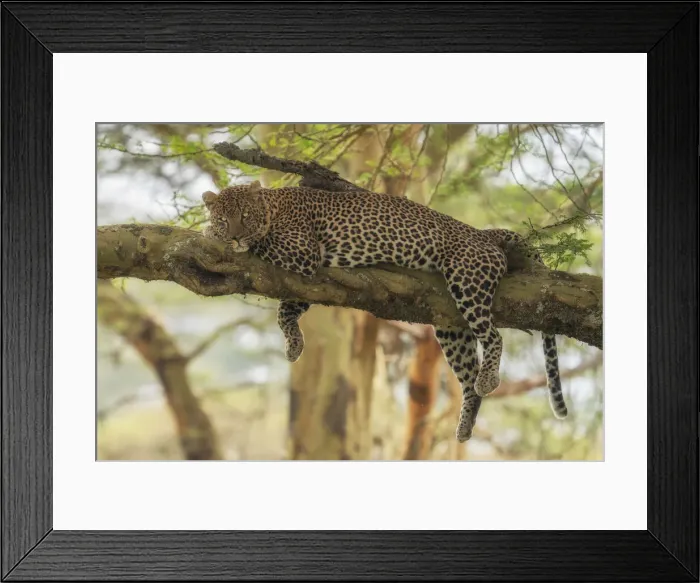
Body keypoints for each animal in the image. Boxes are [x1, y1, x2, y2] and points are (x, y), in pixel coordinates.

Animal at [202, 180, 568, 442]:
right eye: (224, 217)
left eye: (244, 216)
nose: (233, 236)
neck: (272, 206)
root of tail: (481, 233)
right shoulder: (307, 281)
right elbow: (286, 311)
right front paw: (294, 345)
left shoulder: (302, 252)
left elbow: (264, 250)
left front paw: (211, 234)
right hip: (450, 322)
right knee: (467, 373)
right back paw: (465, 425)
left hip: (468, 280)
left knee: (493, 337)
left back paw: (489, 380)